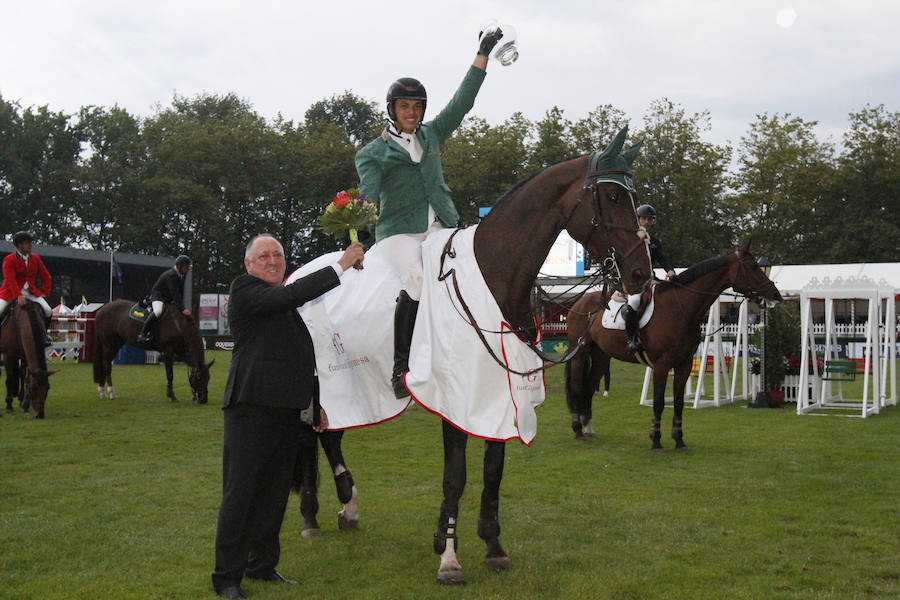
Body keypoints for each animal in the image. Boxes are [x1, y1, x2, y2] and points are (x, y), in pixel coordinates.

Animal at [564, 239, 780, 450]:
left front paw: (679, 439)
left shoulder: (684, 364)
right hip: (579, 354)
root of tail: (579, 303)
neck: (680, 307)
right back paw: (577, 430)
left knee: (589, 387)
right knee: (576, 388)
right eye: (753, 267)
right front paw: (656, 440)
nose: (775, 295)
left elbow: (678, 402)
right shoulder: (661, 365)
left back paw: (588, 428)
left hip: (601, 356)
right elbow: (659, 402)